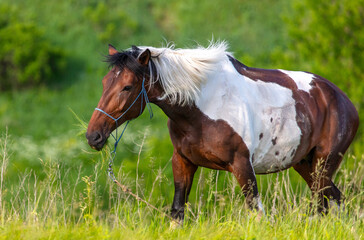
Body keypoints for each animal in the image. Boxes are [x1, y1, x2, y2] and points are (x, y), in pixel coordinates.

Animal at [85, 41, 358, 223]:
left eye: (127, 86)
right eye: (104, 82)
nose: (93, 136)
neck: (203, 107)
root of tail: (344, 101)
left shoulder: (242, 166)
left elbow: (256, 213)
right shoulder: (183, 162)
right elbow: (177, 213)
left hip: (324, 163)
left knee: (322, 205)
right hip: (304, 164)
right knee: (334, 199)